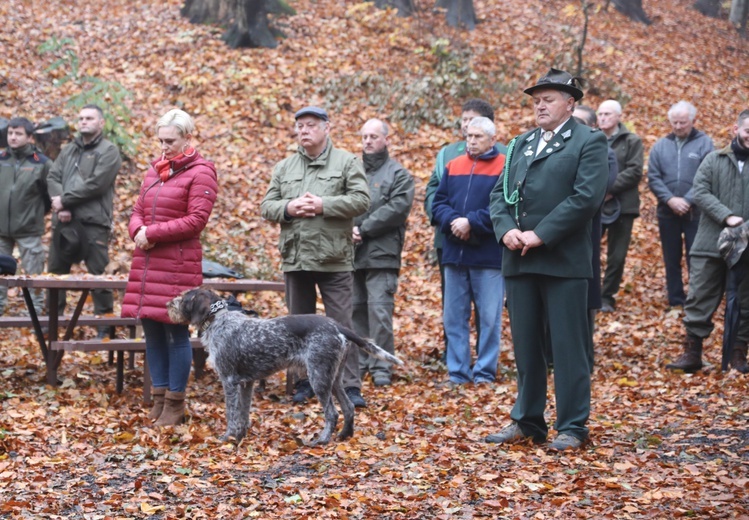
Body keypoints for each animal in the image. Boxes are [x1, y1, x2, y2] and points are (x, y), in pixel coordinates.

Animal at [167, 286, 404, 444]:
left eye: (185, 298)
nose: (168, 304)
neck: (219, 321)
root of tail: (337, 326)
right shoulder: (246, 383)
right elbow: (243, 413)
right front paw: (240, 437)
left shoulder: (230, 381)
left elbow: (231, 414)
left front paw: (228, 438)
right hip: (334, 377)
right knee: (349, 407)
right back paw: (345, 435)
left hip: (318, 377)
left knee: (332, 413)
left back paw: (322, 440)